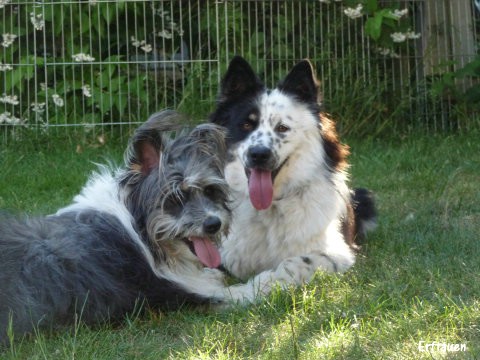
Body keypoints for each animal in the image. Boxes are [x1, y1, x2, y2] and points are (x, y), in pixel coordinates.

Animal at [0, 111, 296, 344]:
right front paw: (290, 274)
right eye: (175, 199)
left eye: (210, 191)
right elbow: (254, 287)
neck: (137, 226)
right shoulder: (184, 292)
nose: (213, 223)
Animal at [212, 57, 376, 284]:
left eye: (282, 128)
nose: (259, 154)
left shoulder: (338, 252)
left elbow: (292, 263)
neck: (271, 206)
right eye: (246, 125)